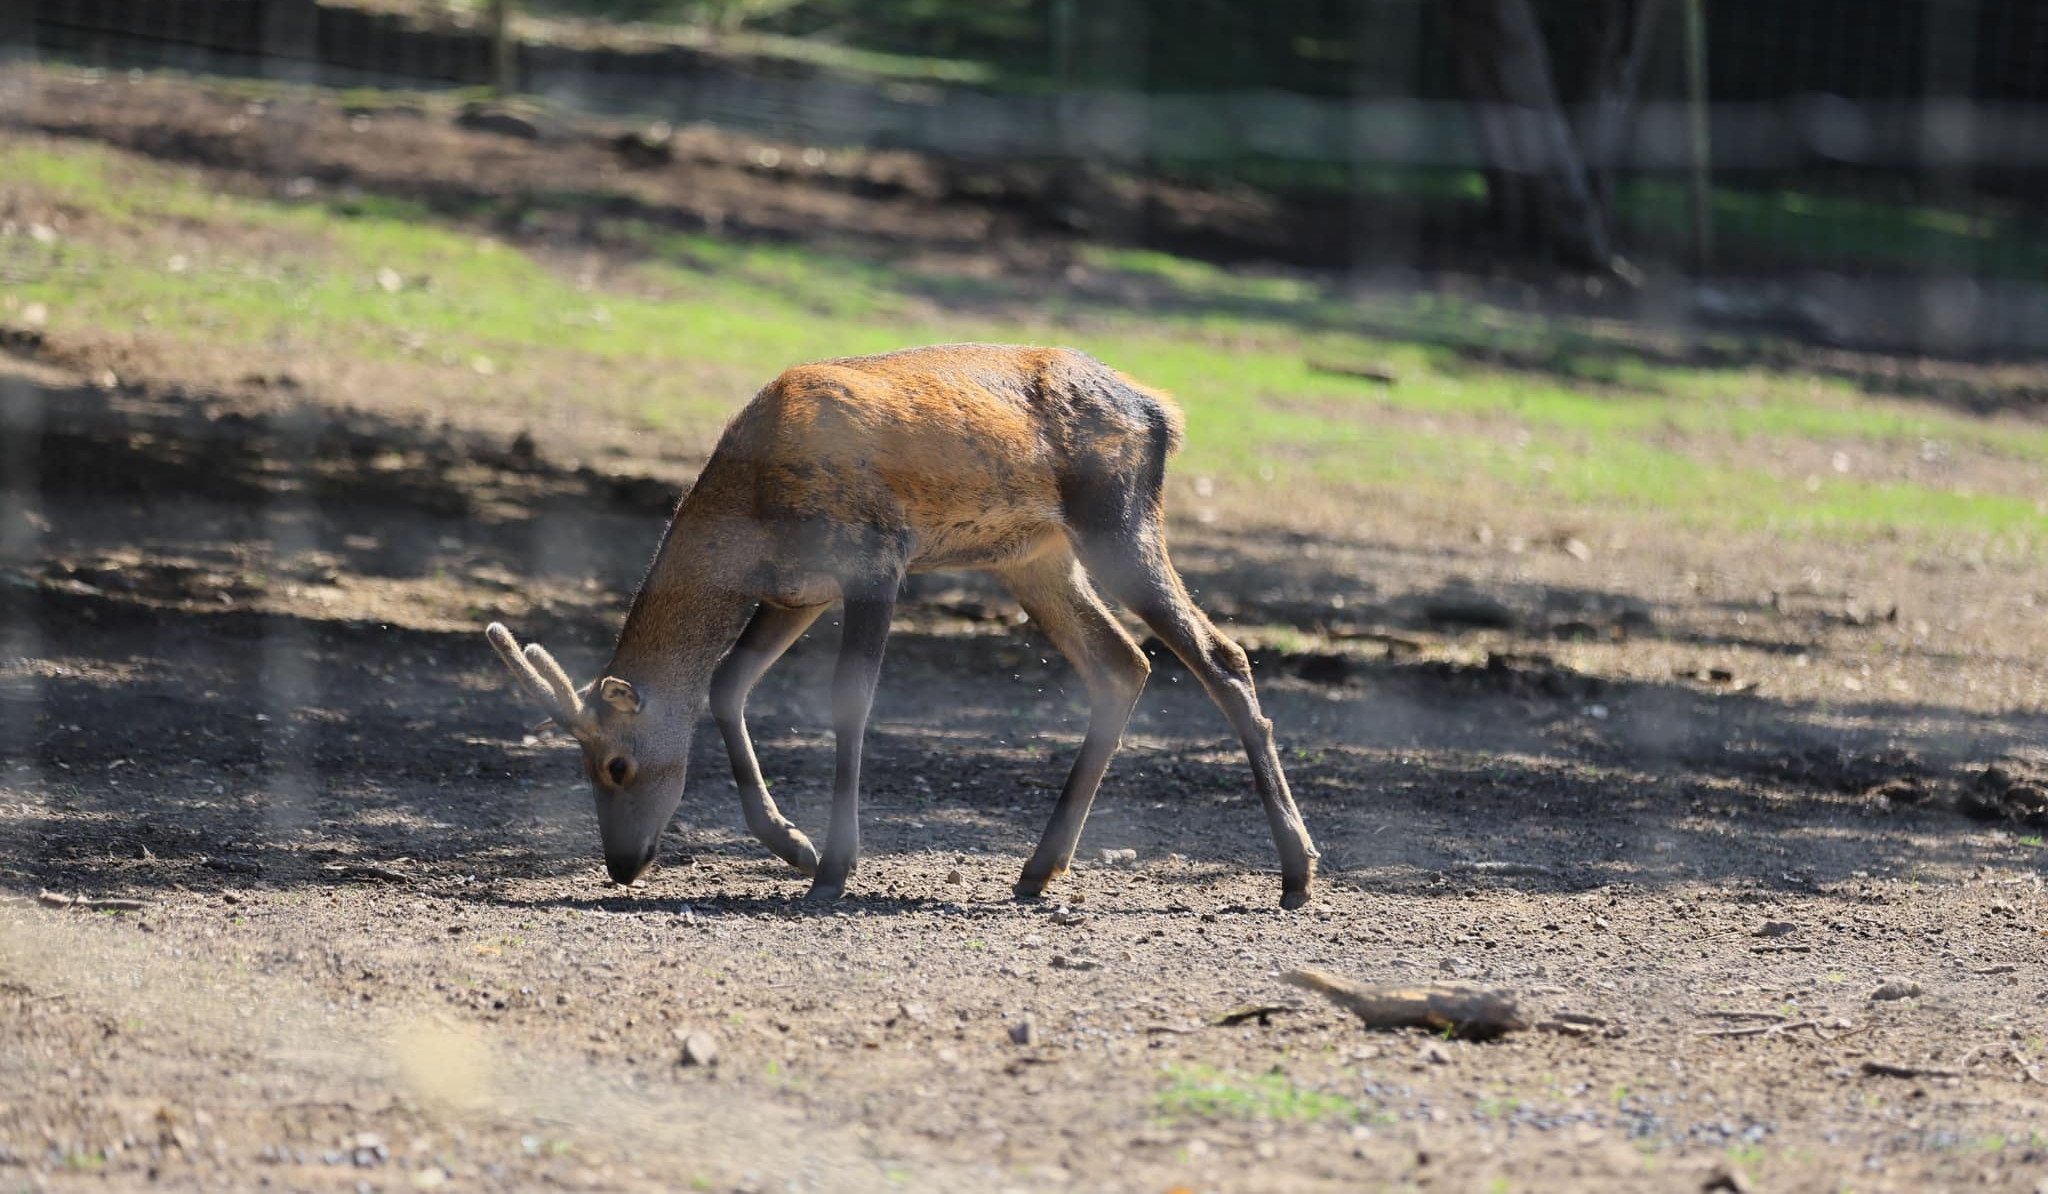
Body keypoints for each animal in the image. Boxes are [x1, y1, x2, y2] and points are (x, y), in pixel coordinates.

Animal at [485, 344, 1318, 905]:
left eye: (616, 766)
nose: (621, 866)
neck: (750, 519)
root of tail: (1162, 412)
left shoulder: (874, 559)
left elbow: (850, 703)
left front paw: (832, 869)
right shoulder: (798, 593)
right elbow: (725, 684)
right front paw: (791, 845)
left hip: (1116, 520)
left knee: (1221, 654)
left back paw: (1297, 871)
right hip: (1032, 554)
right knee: (1123, 662)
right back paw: (1038, 870)